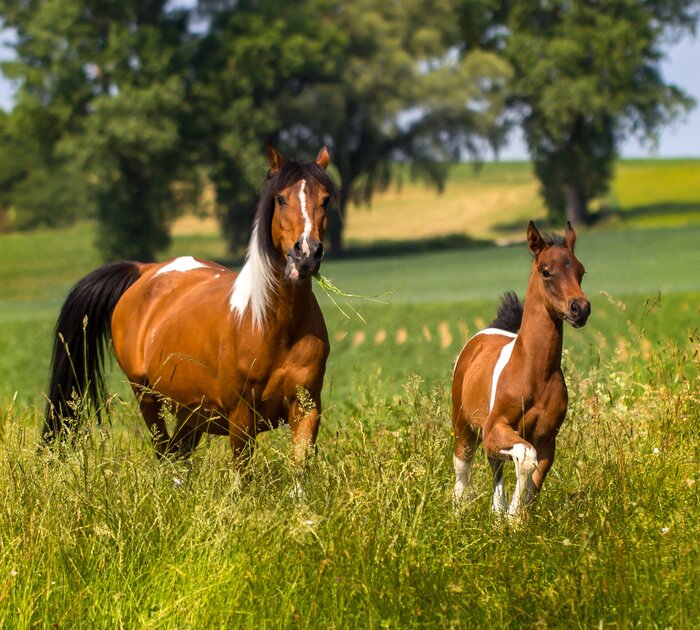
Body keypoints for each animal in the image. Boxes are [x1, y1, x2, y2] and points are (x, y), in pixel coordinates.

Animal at [44, 144, 338, 473]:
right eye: (281, 198)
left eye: (325, 199)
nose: (306, 253)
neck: (272, 326)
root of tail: (146, 270)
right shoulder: (241, 417)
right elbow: (243, 474)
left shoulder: (306, 409)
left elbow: (300, 470)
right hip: (147, 397)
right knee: (164, 452)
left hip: (191, 413)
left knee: (176, 454)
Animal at [451, 221, 590, 519]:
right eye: (546, 271)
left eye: (581, 271)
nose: (580, 308)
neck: (533, 374)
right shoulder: (496, 428)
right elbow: (526, 457)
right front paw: (512, 516)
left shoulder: (547, 441)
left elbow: (533, 480)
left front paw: (514, 519)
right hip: (463, 426)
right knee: (463, 470)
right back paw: (458, 515)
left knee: (495, 464)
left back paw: (496, 513)